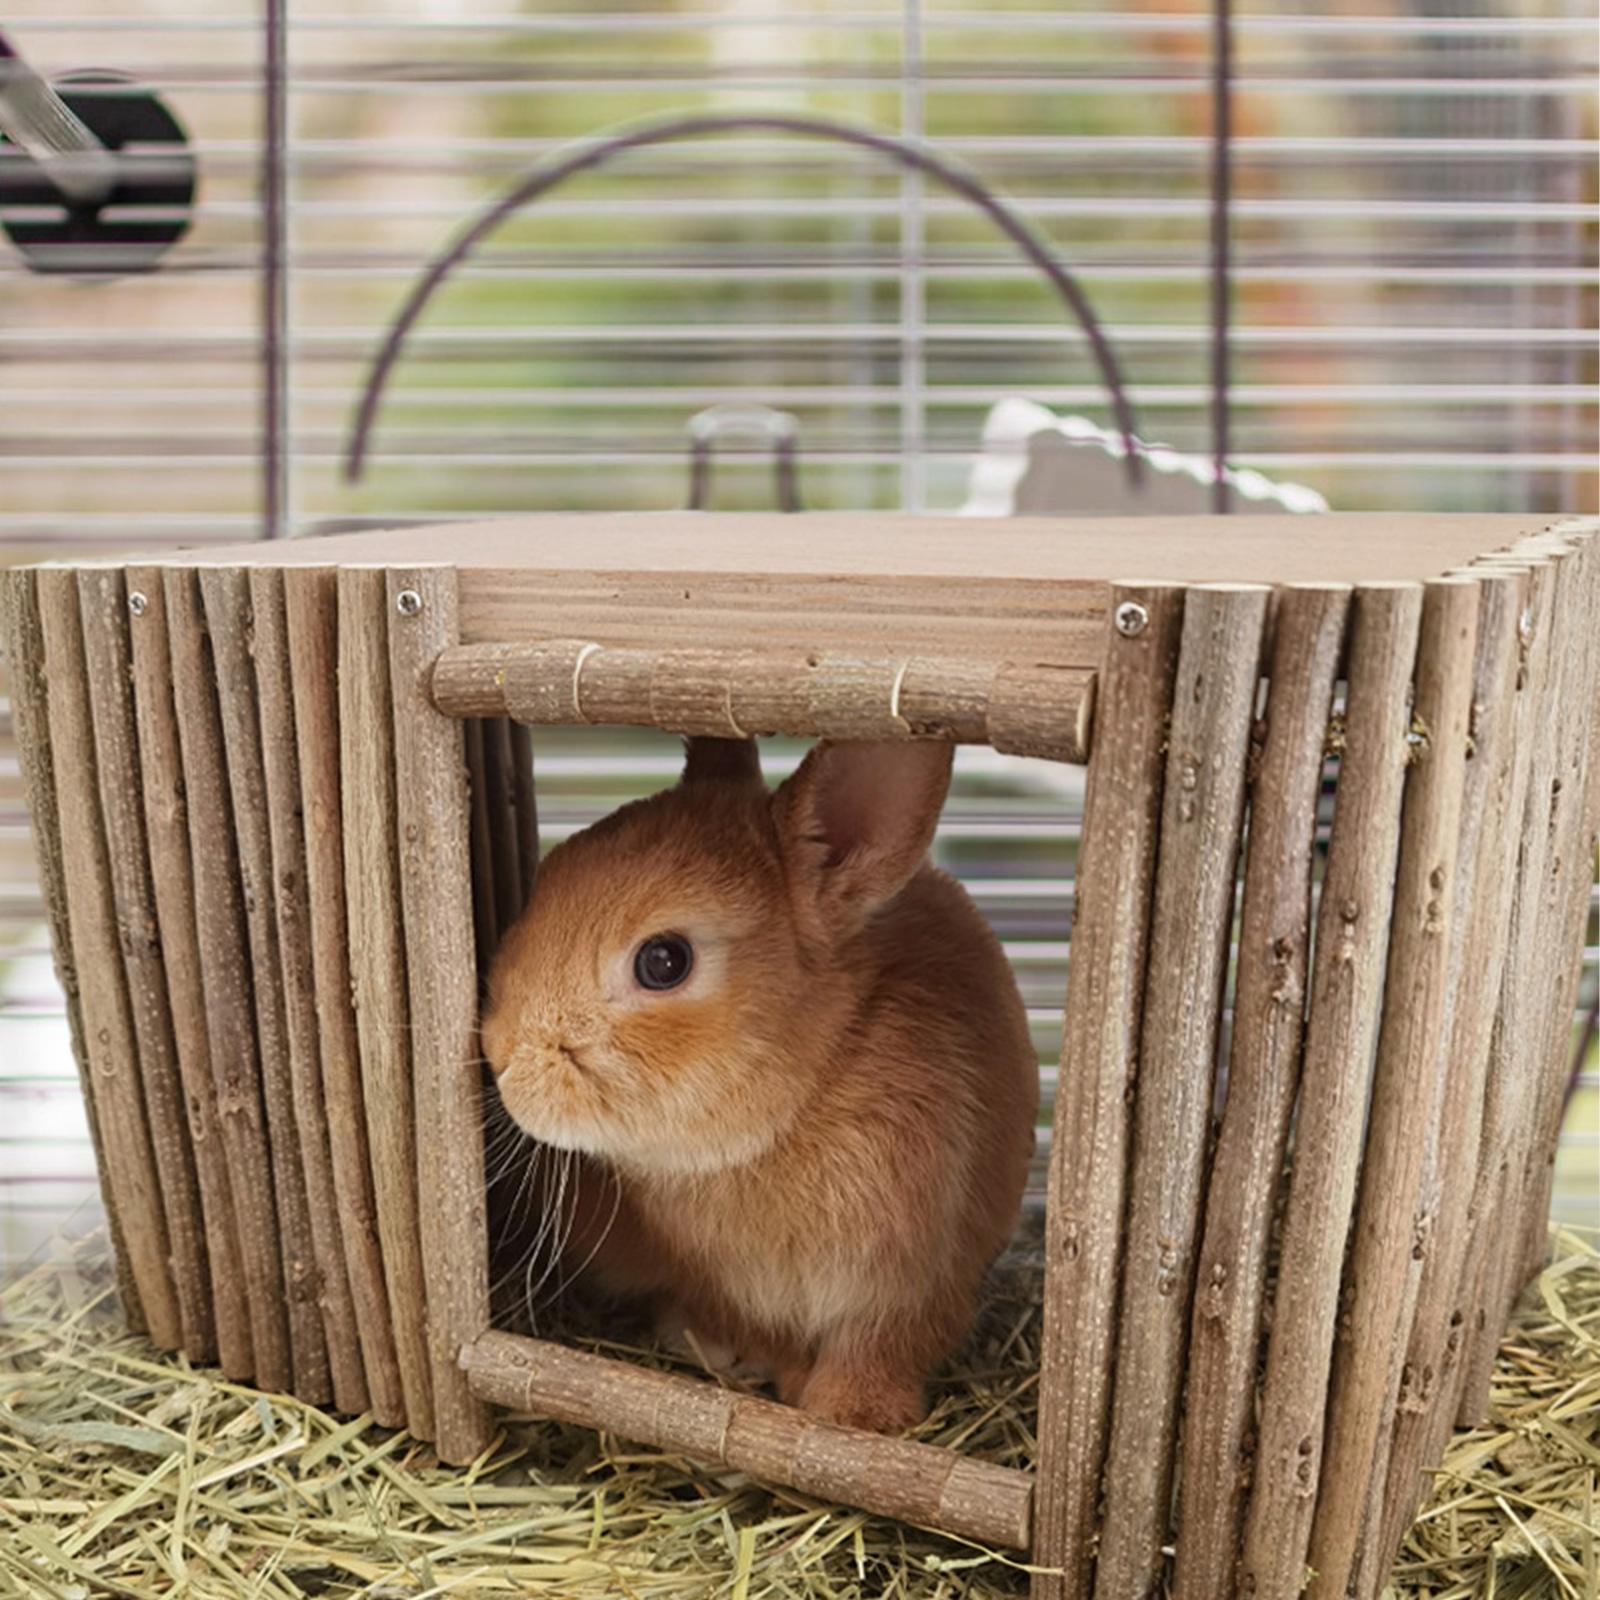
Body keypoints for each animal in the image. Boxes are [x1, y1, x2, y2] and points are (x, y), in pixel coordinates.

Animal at [479, 734, 1039, 1434]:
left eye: (663, 961)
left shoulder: (917, 1275)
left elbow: (880, 1346)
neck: (800, 1103)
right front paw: (774, 1371)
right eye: (548, 873)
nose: (499, 1053)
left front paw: (854, 1415)